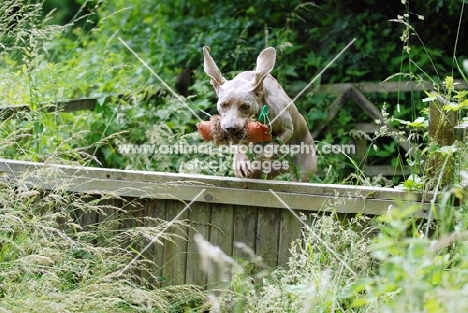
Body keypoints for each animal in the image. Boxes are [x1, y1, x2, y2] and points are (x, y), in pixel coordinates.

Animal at [203, 47, 316, 183]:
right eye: (223, 104)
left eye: (245, 106)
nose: (230, 128)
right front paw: (240, 163)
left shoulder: (288, 130)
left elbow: (270, 147)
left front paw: (257, 163)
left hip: (303, 170)